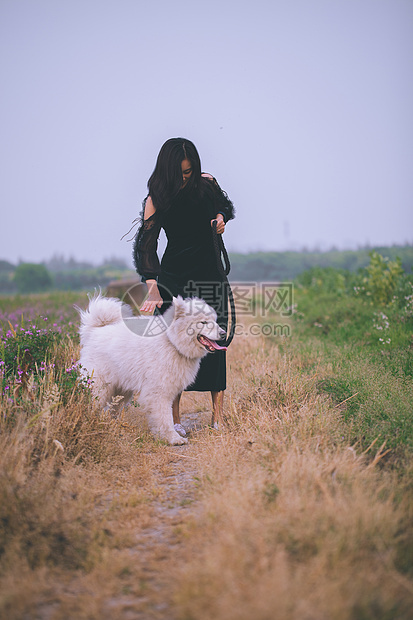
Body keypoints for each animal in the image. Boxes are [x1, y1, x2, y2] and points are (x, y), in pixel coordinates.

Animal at [77, 294, 225, 444]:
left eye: (214, 321)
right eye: (203, 322)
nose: (224, 333)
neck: (171, 342)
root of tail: (95, 330)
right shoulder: (158, 392)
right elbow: (165, 417)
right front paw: (172, 438)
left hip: (121, 391)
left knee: (112, 410)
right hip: (99, 387)